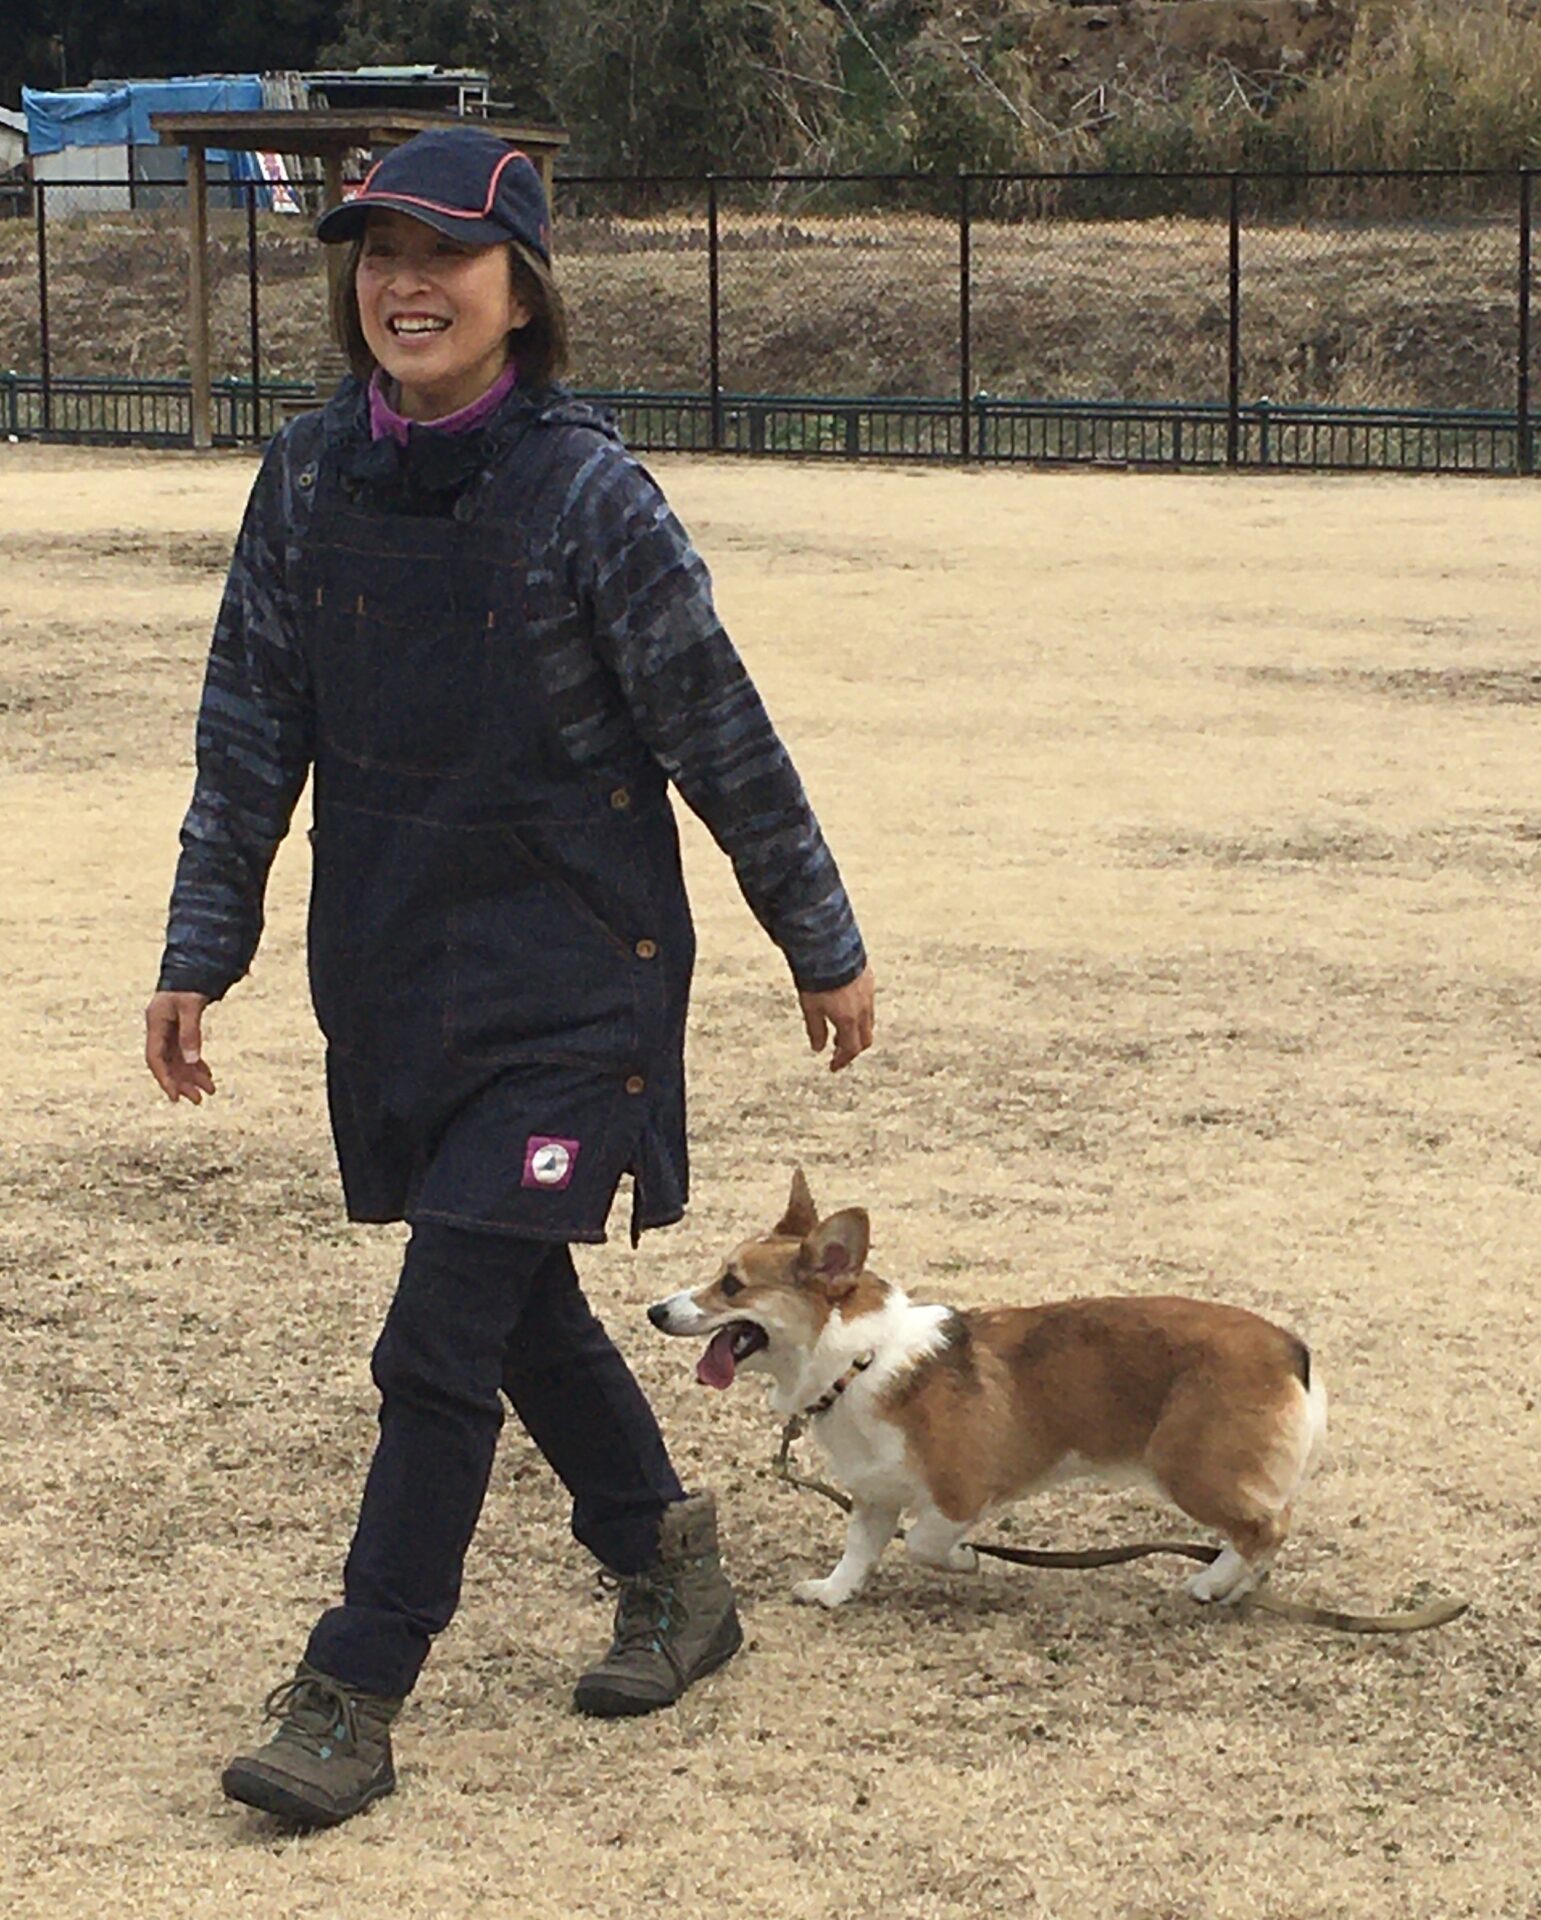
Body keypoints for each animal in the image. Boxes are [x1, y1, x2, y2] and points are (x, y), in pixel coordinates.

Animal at [649, 1170, 1327, 1610]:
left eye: (731, 1285)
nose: (656, 1311)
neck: (858, 1361)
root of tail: (1291, 1349)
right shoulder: (873, 1494)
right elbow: (858, 1551)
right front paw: (832, 1593)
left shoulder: (961, 1493)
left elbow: (924, 1542)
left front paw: (966, 1560)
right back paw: (1236, 1585)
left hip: (1188, 1467)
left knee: (1269, 1527)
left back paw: (1213, 1582)